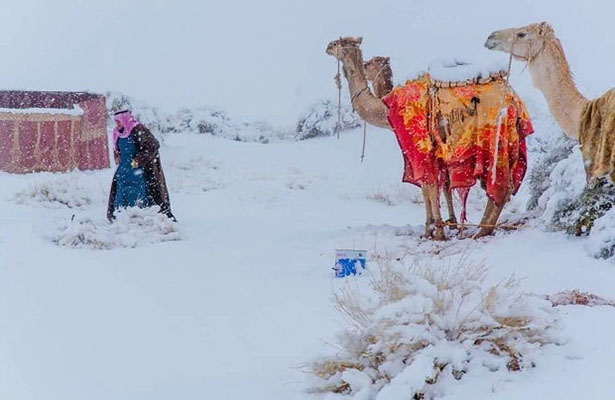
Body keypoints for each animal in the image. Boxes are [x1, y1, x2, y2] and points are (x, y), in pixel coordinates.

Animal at [324, 36, 532, 239]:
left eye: (337, 43)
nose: (327, 47)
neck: (386, 108)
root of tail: (514, 101)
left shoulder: (419, 145)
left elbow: (427, 186)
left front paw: (434, 230)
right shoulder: (439, 151)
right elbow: (442, 185)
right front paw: (449, 224)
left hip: (494, 137)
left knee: (500, 187)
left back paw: (480, 231)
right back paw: (482, 229)